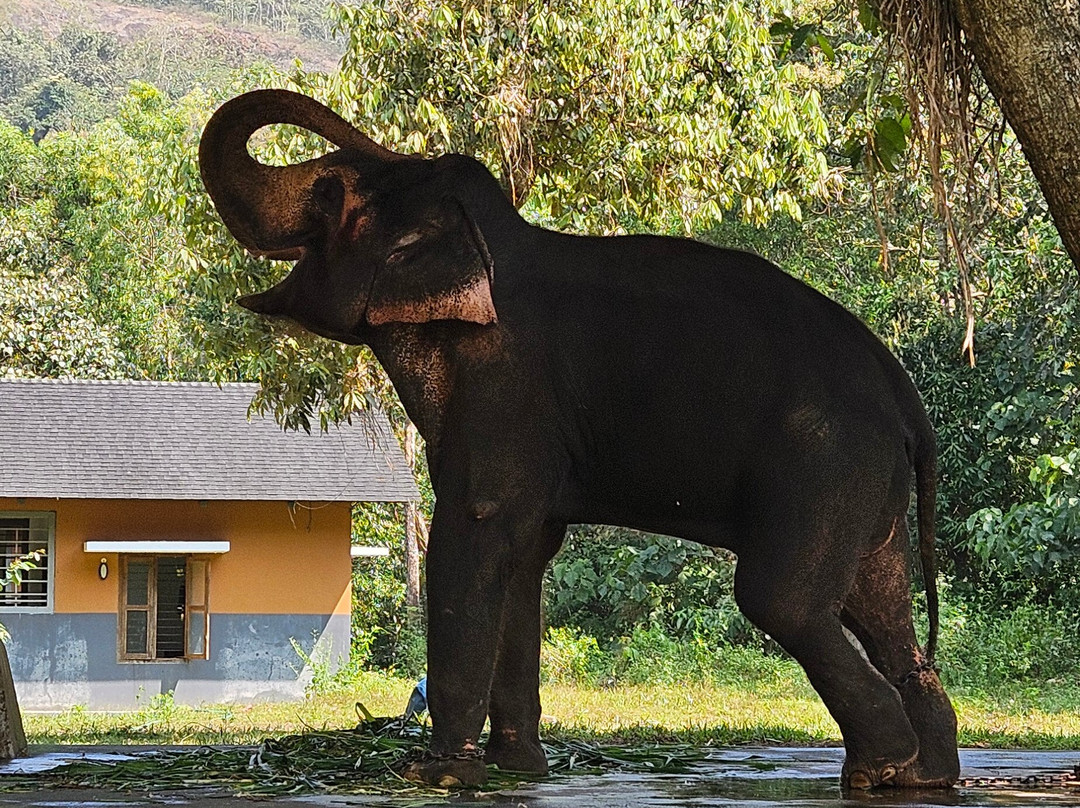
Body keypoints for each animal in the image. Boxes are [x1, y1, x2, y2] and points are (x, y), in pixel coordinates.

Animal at [199, 89, 960, 791]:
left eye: (330, 197)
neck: (489, 242)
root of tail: (907, 401)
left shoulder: (504, 390)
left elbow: (474, 531)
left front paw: (435, 775)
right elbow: (525, 554)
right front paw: (517, 769)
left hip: (825, 460)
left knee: (784, 600)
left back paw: (882, 768)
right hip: (867, 485)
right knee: (880, 608)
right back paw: (922, 776)